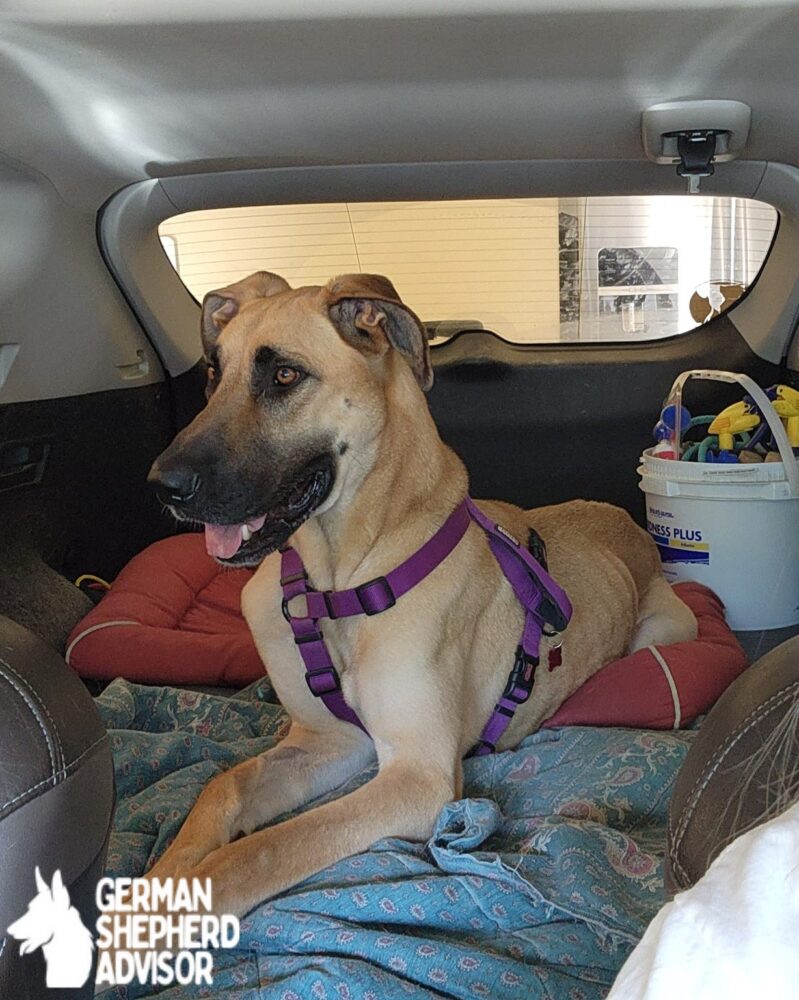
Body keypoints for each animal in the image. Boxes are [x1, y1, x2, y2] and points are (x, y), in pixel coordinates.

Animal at [147, 270, 696, 916]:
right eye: (213, 372)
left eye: (284, 375)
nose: (162, 485)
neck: (340, 581)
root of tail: (626, 520)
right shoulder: (330, 741)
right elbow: (222, 786)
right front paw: (154, 883)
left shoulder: (419, 777)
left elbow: (265, 850)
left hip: (669, 627)